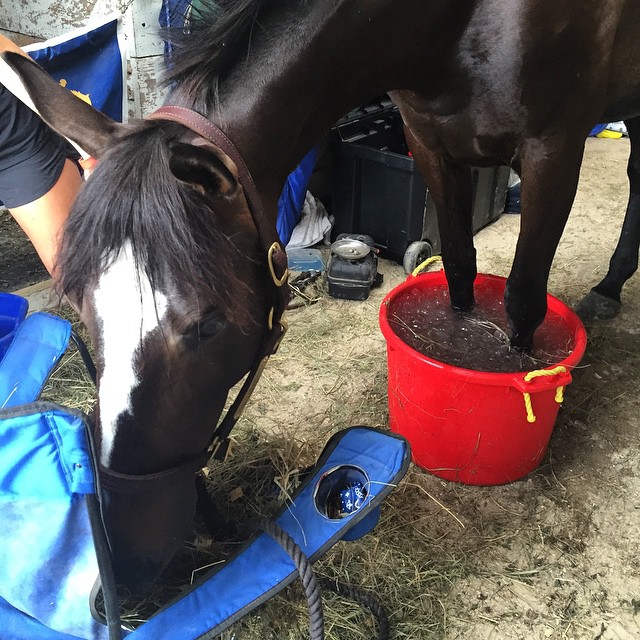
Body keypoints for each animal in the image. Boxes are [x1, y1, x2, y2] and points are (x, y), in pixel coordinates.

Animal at [4, 0, 640, 593]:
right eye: (80, 303)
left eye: (208, 324)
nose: (125, 555)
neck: (457, 27)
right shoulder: (429, 142)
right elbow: (460, 267)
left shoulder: (554, 151)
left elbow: (524, 300)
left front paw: (520, 372)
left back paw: (609, 288)